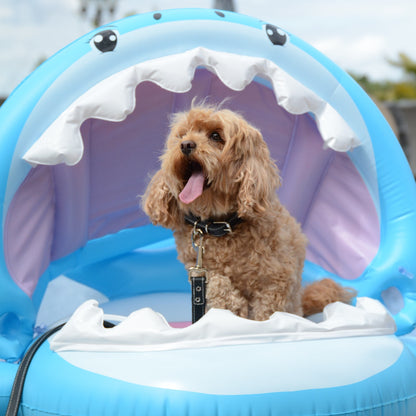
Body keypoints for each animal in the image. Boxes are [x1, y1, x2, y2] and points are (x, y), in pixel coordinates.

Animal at [142, 105, 354, 320]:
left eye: (216, 136)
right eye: (182, 134)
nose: (185, 145)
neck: (219, 225)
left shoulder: (276, 280)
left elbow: (267, 312)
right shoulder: (198, 269)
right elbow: (219, 284)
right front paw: (232, 303)